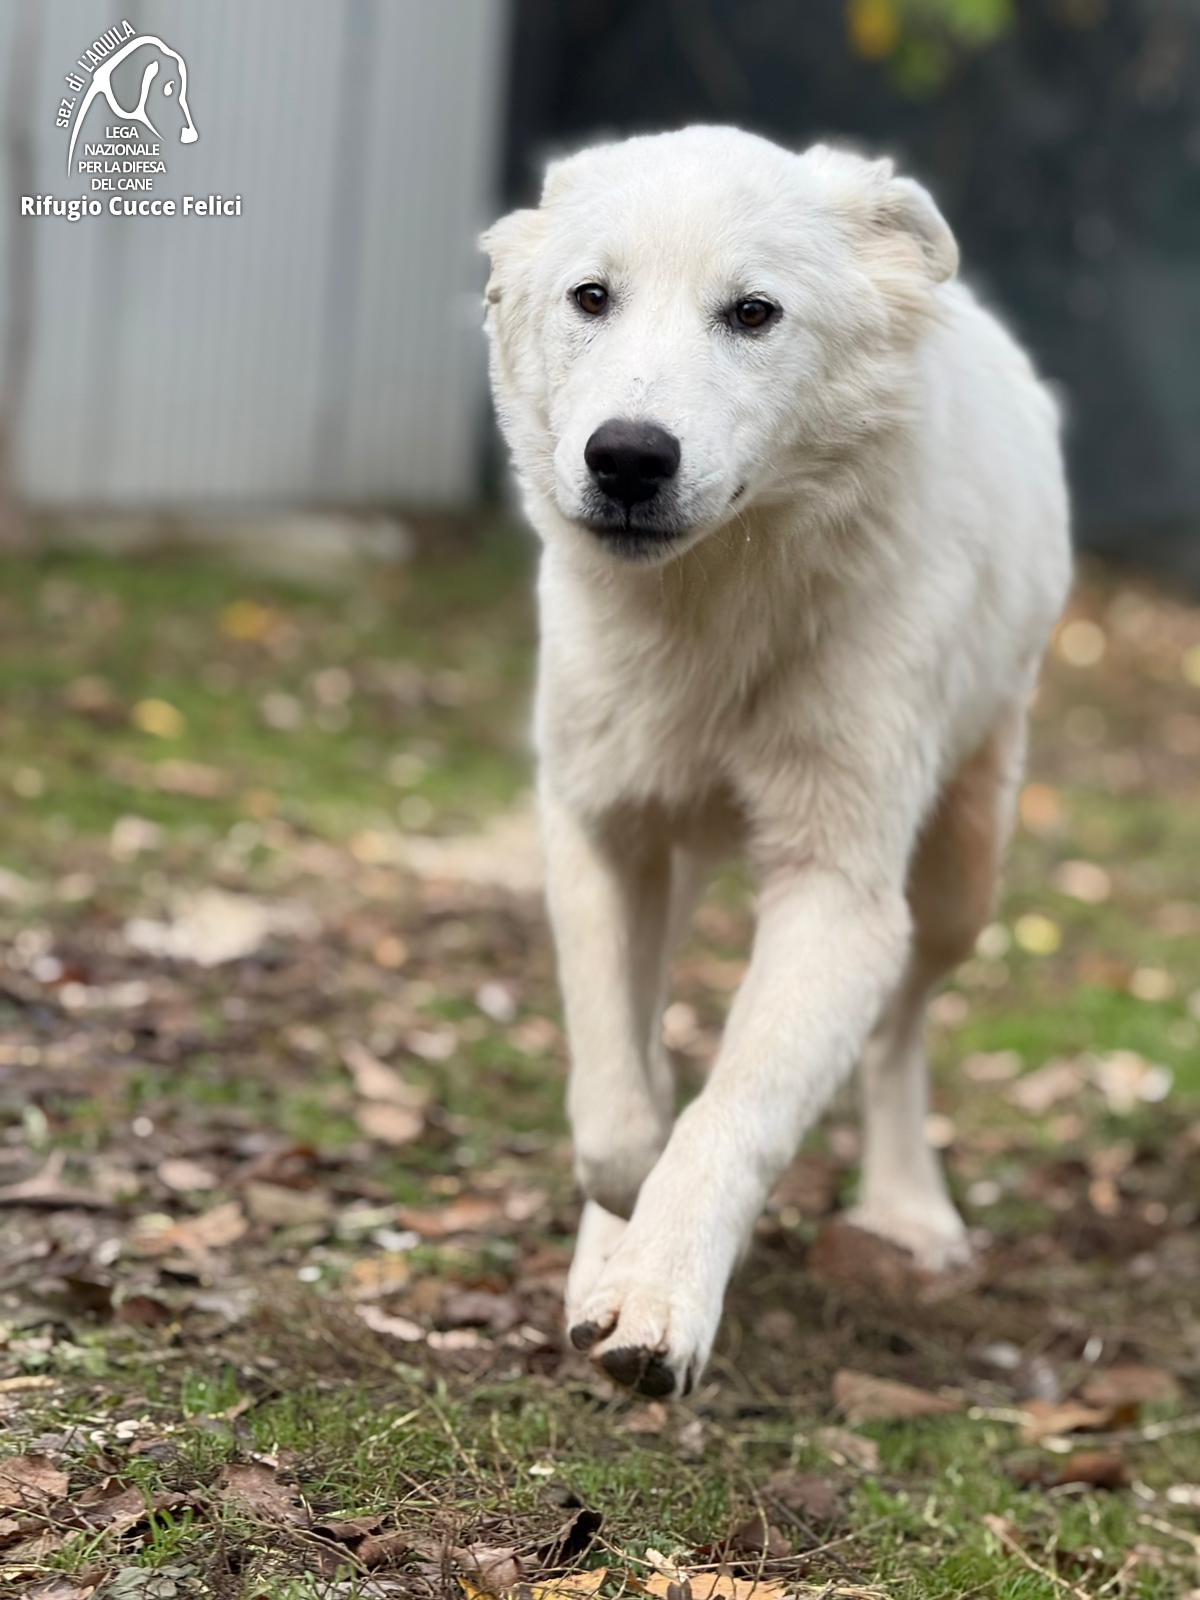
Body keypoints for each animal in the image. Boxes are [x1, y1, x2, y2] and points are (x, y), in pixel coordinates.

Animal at [482, 126, 1070, 1399]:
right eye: (592, 298)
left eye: (753, 314)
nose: (628, 459)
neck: (711, 611)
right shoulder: (600, 828)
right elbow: (619, 1090)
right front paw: (617, 1231)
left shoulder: (838, 896)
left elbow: (734, 1109)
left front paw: (658, 1303)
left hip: (960, 871)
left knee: (900, 1033)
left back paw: (907, 1208)